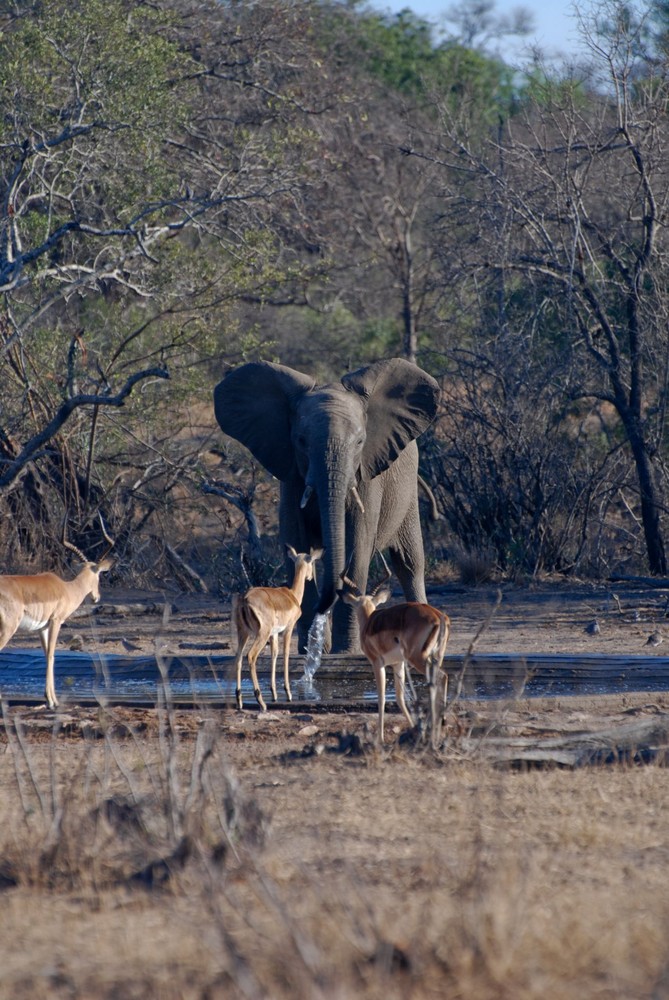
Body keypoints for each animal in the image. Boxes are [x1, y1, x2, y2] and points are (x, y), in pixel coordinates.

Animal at [214, 356, 440, 652]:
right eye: (301, 441)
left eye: (360, 441)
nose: (325, 605)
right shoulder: (291, 475)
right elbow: (295, 540)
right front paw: (311, 650)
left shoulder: (366, 476)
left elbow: (358, 541)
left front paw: (347, 650)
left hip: (407, 492)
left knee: (409, 562)